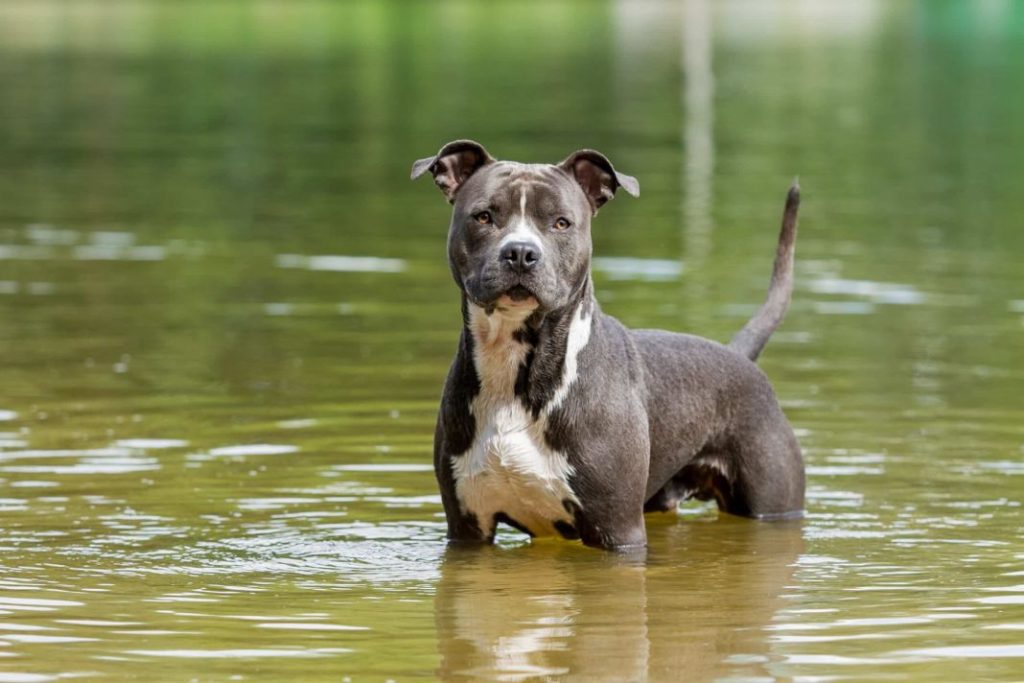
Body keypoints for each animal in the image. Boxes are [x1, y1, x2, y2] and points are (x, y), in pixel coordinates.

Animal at [411, 139, 802, 548]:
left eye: (561, 222)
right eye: (484, 216)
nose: (520, 252)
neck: (516, 367)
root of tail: (739, 356)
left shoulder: (617, 529)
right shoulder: (467, 527)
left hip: (773, 502)